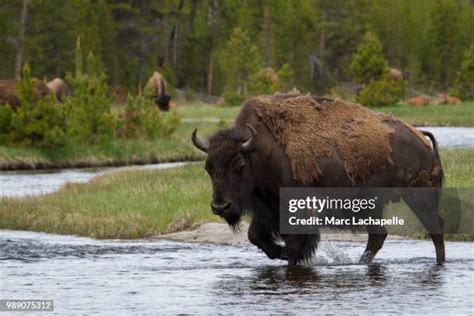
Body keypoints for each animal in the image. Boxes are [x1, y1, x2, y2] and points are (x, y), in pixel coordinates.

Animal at [192, 92, 444, 266]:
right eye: (208, 168)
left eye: (239, 166)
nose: (220, 206)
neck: (261, 151)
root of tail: (424, 142)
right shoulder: (267, 209)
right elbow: (255, 236)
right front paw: (279, 254)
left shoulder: (294, 211)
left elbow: (294, 245)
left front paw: (289, 260)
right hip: (373, 205)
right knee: (378, 236)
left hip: (419, 197)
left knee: (434, 230)